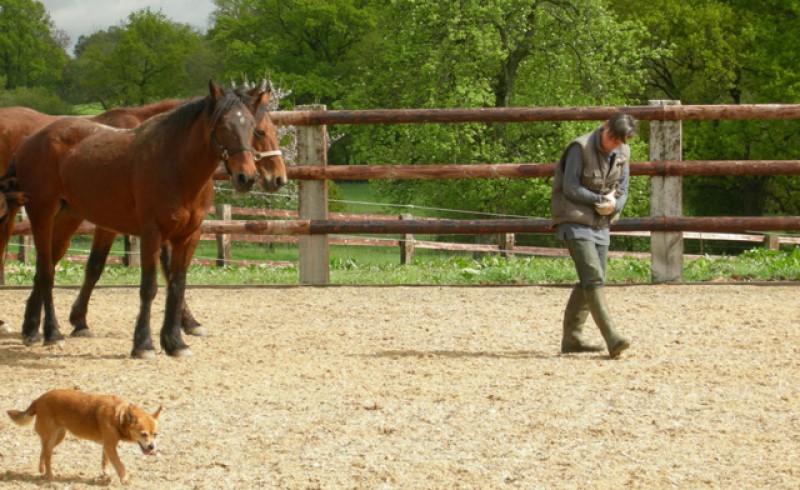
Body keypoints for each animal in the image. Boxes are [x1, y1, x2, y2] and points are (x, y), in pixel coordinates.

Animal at [3, 79, 268, 356]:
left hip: (66, 218)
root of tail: (28, 141)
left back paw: (32, 329)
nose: (247, 177)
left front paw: (175, 342)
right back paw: (52, 333)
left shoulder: (188, 235)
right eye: (224, 125)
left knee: (45, 269)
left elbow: (177, 285)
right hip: (41, 214)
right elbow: (149, 287)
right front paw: (143, 344)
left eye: (252, 127)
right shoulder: (152, 233)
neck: (176, 165)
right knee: (46, 271)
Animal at [7, 388, 161, 484]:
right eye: (143, 434)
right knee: (47, 456)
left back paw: (42, 470)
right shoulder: (110, 446)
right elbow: (119, 465)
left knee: (43, 451)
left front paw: (105, 473)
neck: (119, 416)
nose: (152, 447)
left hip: (58, 436)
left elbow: (105, 461)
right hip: (51, 438)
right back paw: (50, 476)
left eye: (155, 434)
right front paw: (125, 479)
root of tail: (38, 400)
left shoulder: (108, 445)